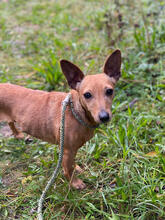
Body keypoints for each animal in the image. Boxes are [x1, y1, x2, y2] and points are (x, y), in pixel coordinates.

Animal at [0, 49, 121, 189]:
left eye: (109, 91)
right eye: (87, 95)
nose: (104, 117)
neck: (75, 112)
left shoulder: (71, 150)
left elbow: (72, 164)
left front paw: (77, 168)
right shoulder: (67, 151)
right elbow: (68, 170)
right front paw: (75, 183)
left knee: (10, 122)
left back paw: (17, 134)